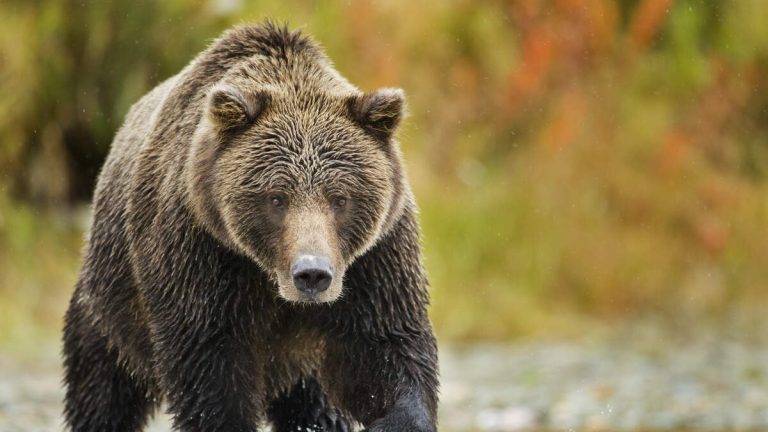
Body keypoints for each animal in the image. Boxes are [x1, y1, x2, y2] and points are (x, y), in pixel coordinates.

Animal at [61, 22, 438, 432]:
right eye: (276, 198)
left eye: (340, 198)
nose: (312, 273)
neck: (270, 278)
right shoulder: (200, 251)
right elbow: (210, 368)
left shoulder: (374, 260)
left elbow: (385, 349)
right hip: (110, 304)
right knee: (102, 388)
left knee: (315, 405)